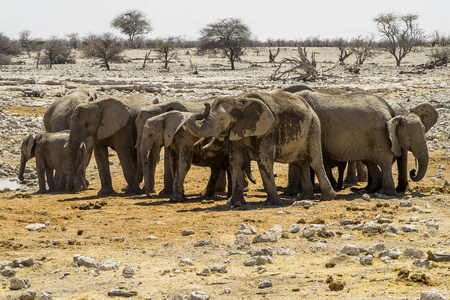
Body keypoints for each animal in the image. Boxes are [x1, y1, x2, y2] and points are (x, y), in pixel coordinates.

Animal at [185, 89, 336, 206]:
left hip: (314, 128)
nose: (205, 104)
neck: (239, 100)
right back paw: (305, 197)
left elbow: (263, 161)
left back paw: (328, 197)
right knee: (301, 163)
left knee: (315, 162)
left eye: (222, 119)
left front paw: (273, 203)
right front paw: (234, 203)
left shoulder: (268, 129)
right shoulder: (237, 129)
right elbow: (236, 161)